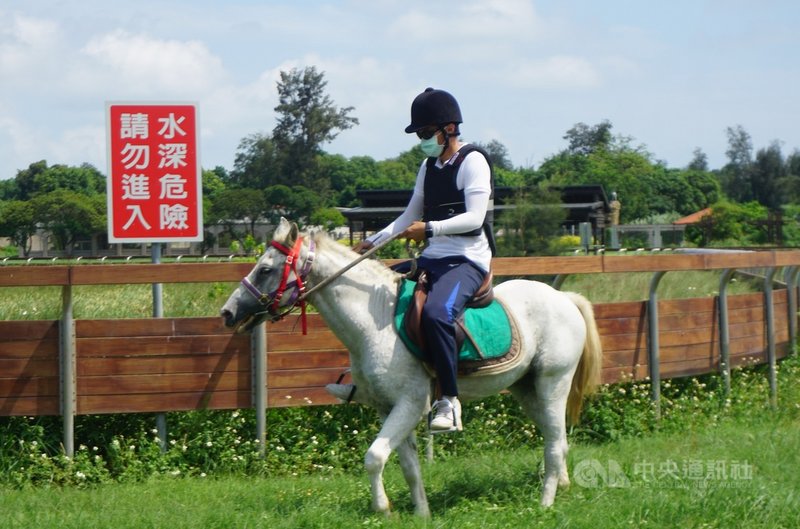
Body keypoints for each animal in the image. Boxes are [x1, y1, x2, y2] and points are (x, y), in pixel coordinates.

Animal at [220, 218, 603, 517]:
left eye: (266, 269)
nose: (227, 313)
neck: (373, 320)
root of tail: (564, 299)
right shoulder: (386, 407)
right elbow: (408, 466)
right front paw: (422, 513)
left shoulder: (409, 404)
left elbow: (374, 457)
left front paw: (382, 508)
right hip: (527, 389)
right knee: (559, 438)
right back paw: (563, 486)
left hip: (553, 383)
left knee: (553, 443)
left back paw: (545, 503)